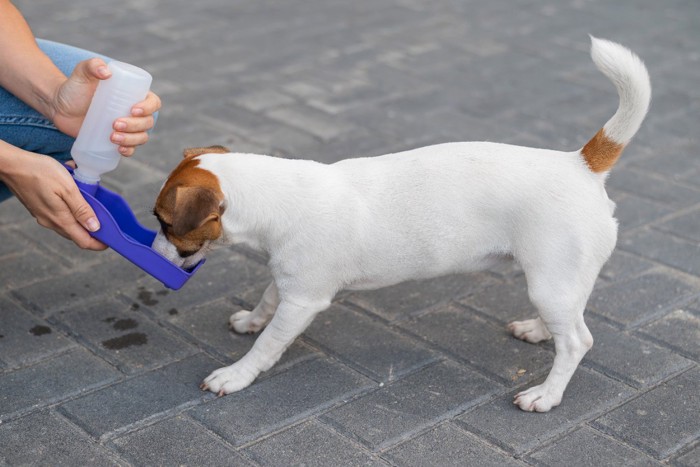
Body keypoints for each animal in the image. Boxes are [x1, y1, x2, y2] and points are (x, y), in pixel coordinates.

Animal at [152, 37, 652, 414]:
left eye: (164, 222)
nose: (153, 255)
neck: (276, 195)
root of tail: (580, 164)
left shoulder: (304, 301)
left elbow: (268, 345)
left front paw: (236, 375)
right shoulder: (288, 281)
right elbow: (266, 300)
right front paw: (251, 320)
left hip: (550, 279)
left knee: (577, 342)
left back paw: (546, 395)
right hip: (560, 281)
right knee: (569, 320)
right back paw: (538, 330)